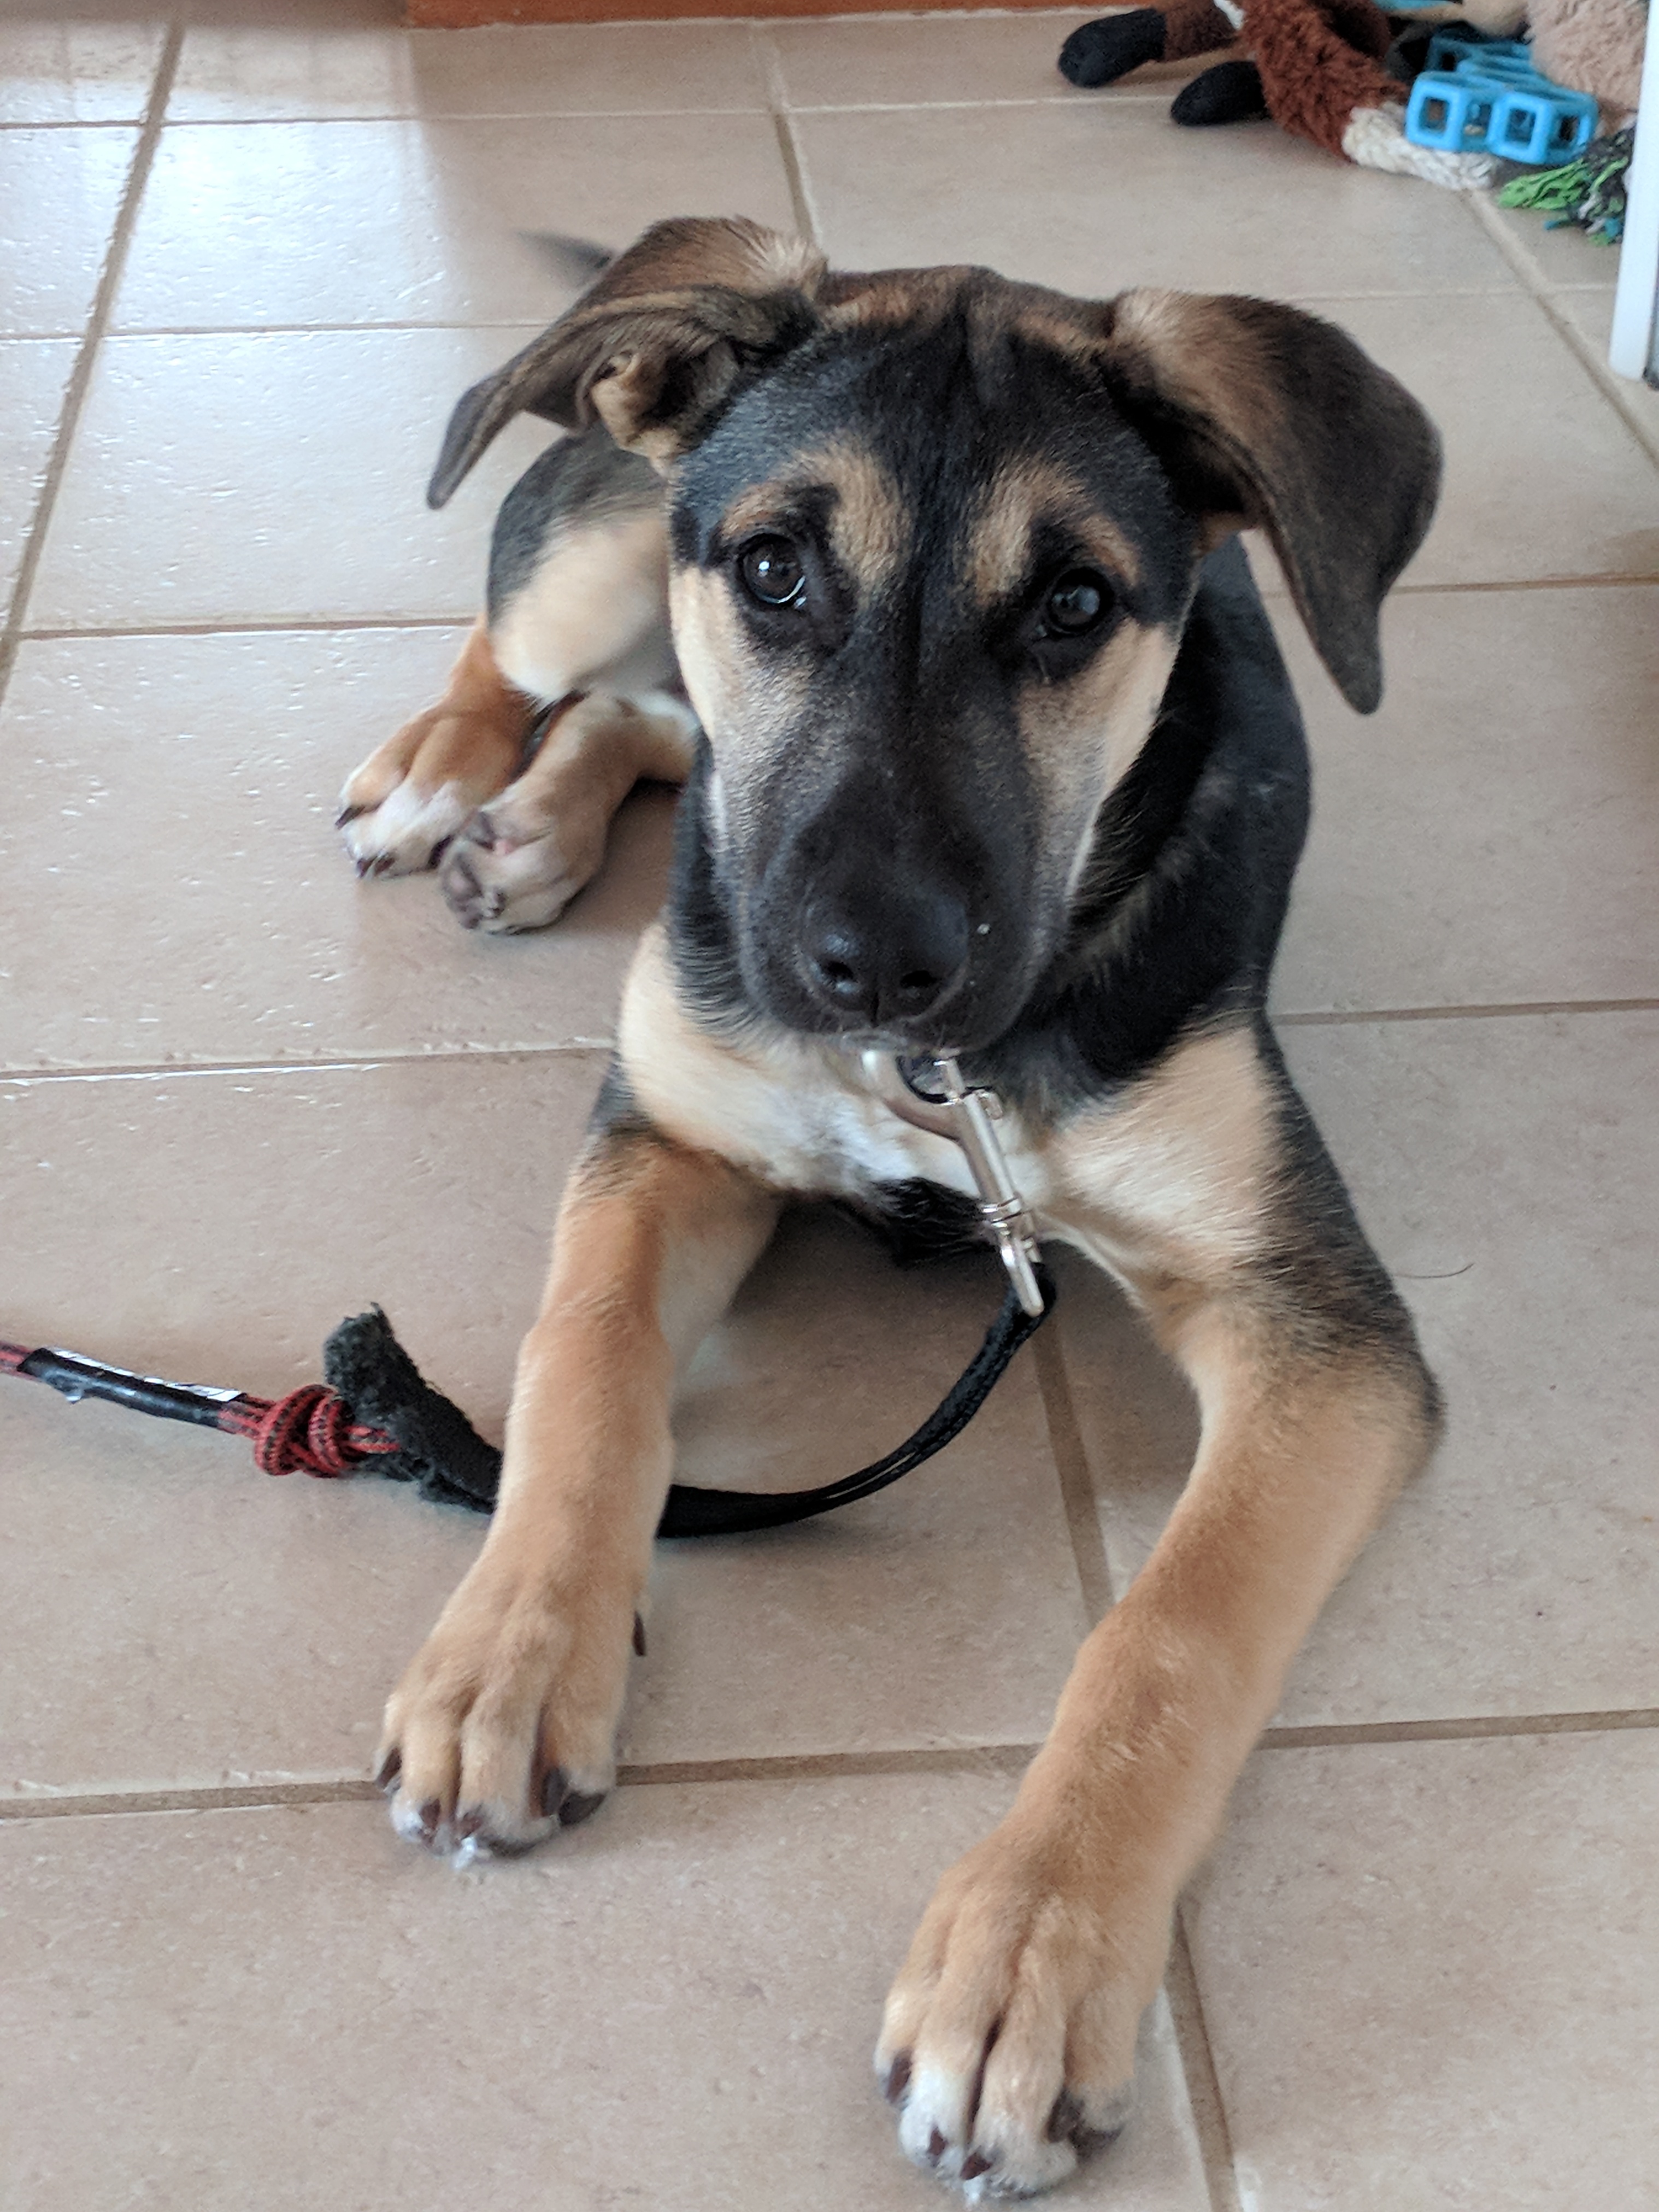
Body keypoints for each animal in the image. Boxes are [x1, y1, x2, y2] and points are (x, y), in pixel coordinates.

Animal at [338, 216, 1443, 2201]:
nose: (868, 965)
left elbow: (1166, 1629)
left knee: (646, 720)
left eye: (1074, 606)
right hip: (600, 546)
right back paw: (452, 771)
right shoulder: (666, 1131)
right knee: (548, 652)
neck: (933, 1084)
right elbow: (581, 1362)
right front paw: (507, 1650)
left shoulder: (1312, 1324)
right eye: (775, 567)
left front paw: (1028, 1954)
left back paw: (536, 827)